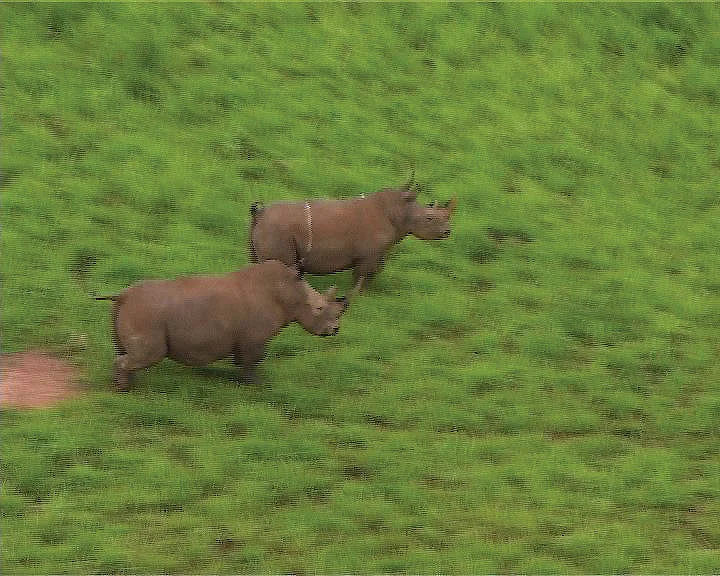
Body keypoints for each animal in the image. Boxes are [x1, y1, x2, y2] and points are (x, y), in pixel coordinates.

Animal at [94, 260, 349, 390]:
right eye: (319, 309)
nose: (335, 329)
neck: (290, 292)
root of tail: (122, 296)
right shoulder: (256, 338)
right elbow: (254, 359)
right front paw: (256, 384)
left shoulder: (243, 338)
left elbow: (244, 358)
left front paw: (242, 376)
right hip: (147, 315)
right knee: (150, 354)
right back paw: (124, 388)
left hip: (134, 312)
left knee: (124, 350)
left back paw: (126, 382)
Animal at [249, 178, 456, 293]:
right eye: (429, 219)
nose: (447, 232)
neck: (401, 211)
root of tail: (260, 214)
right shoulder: (369, 254)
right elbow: (362, 276)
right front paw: (360, 297)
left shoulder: (378, 252)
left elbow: (373, 273)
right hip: (277, 231)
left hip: (267, 229)